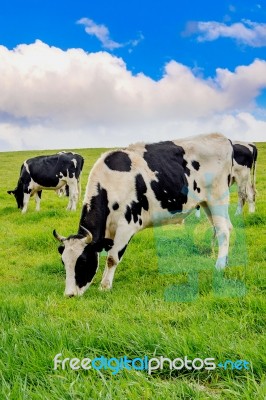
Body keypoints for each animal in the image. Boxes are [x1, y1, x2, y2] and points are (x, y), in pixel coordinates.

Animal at [53, 134, 234, 296]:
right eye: (63, 261)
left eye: (82, 261)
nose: (69, 294)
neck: (110, 184)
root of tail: (221, 138)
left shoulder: (126, 225)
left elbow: (112, 258)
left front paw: (104, 286)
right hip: (206, 203)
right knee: (223, 228)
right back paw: (223, 261)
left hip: (217, 198)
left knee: (223, 231)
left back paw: (219, 266)